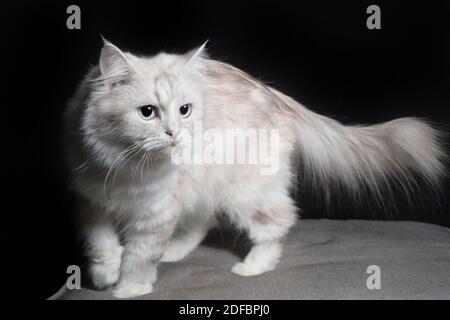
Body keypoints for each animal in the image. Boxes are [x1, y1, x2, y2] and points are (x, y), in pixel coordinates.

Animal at [64, 39, 446, 298]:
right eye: (147, 112)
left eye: (185, 110)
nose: (174, 133)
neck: (125, 166)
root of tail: (280, 99)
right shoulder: (90, 202)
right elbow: (101, 244)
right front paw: (104, 275)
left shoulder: (156, 213)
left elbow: (139, 257)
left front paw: (128, 289)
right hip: (209, 187)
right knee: (204, 221)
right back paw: (173, 253)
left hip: (245, 192)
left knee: (278, 223)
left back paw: (252, 268)